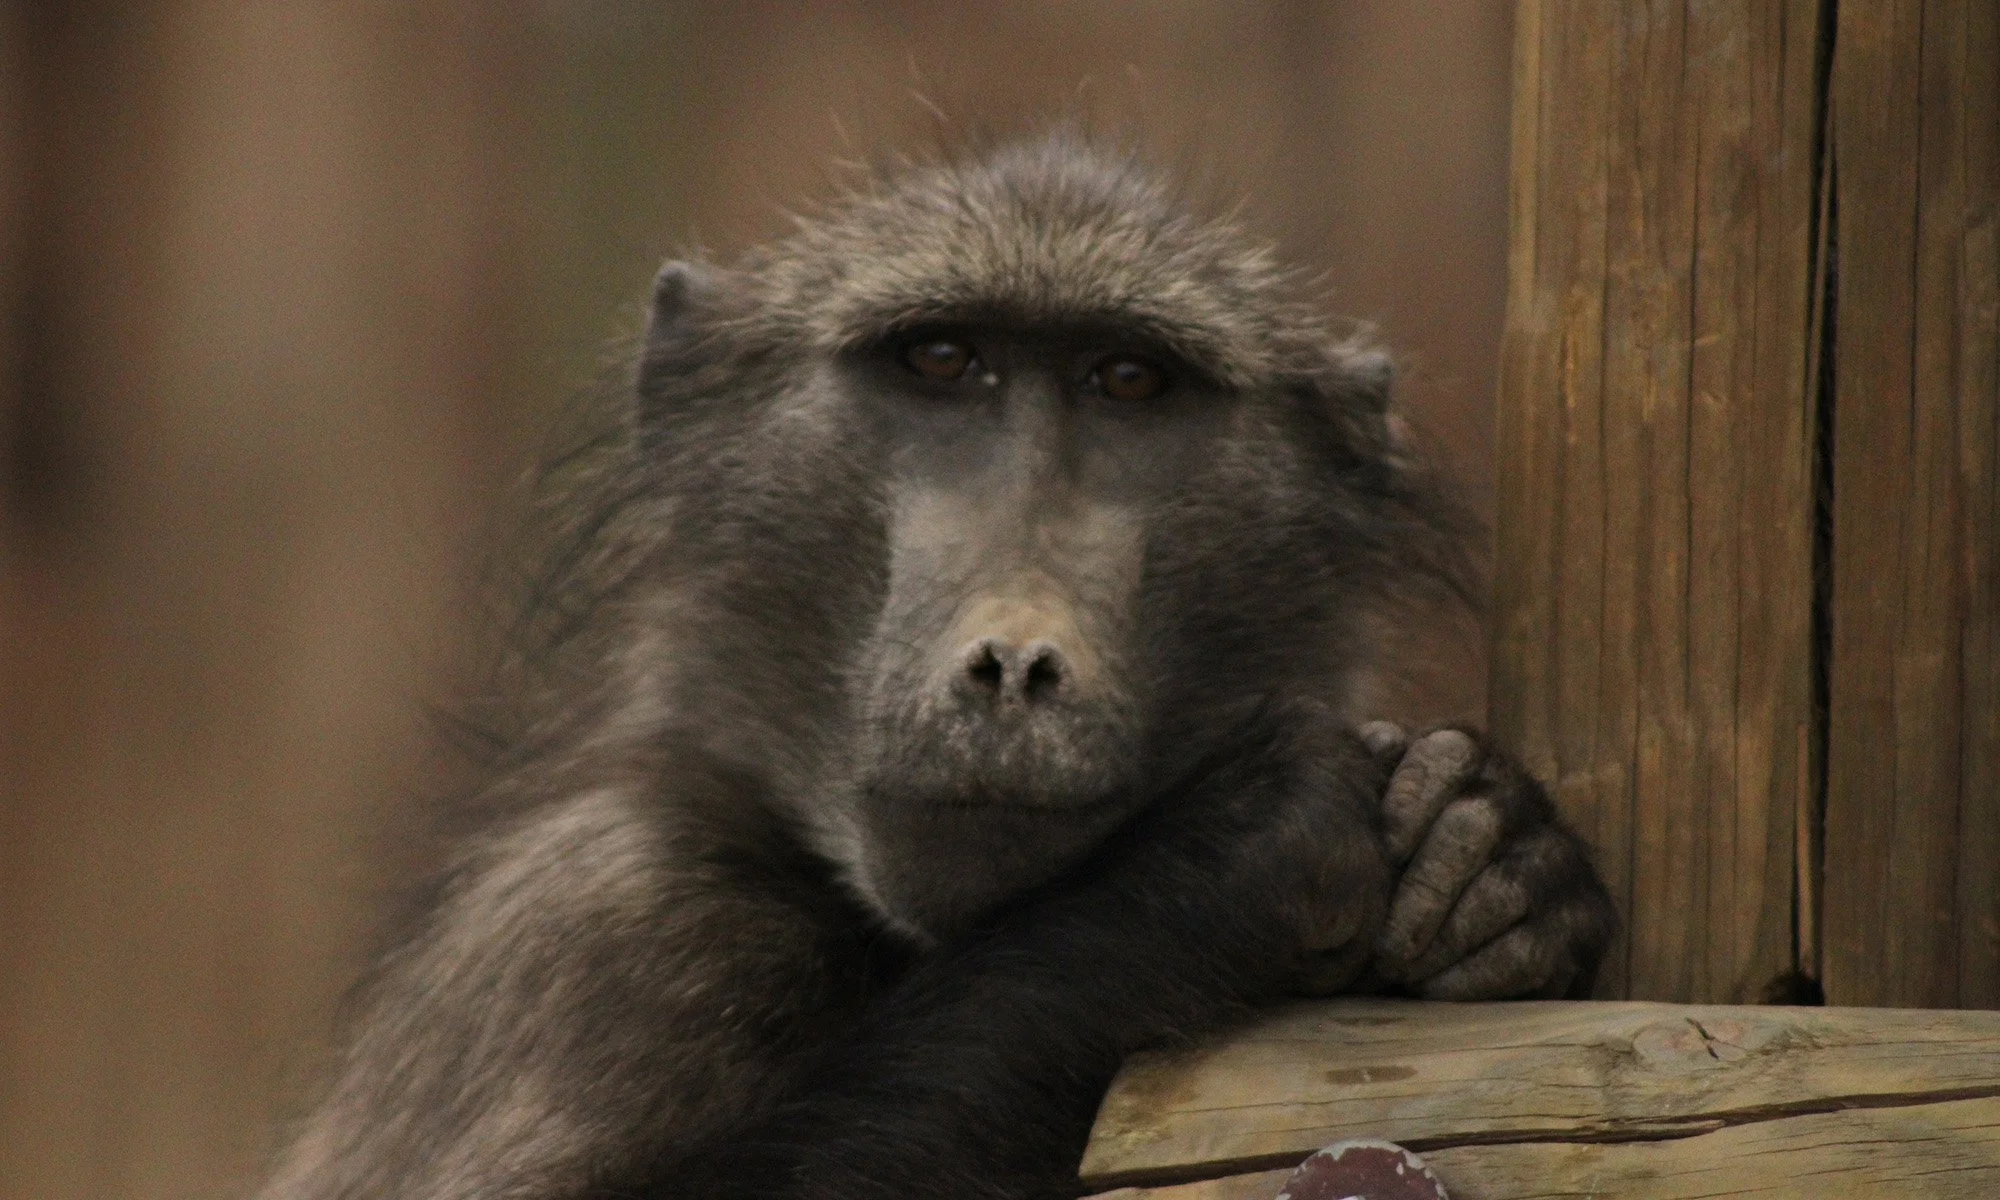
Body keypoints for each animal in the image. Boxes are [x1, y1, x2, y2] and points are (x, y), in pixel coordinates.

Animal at [255, 135, 1615, 1200]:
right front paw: (1221, 861)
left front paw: (1482, 853)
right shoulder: (609, 923)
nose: (1012, 665)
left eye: (1128, 382)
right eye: (941, 363)